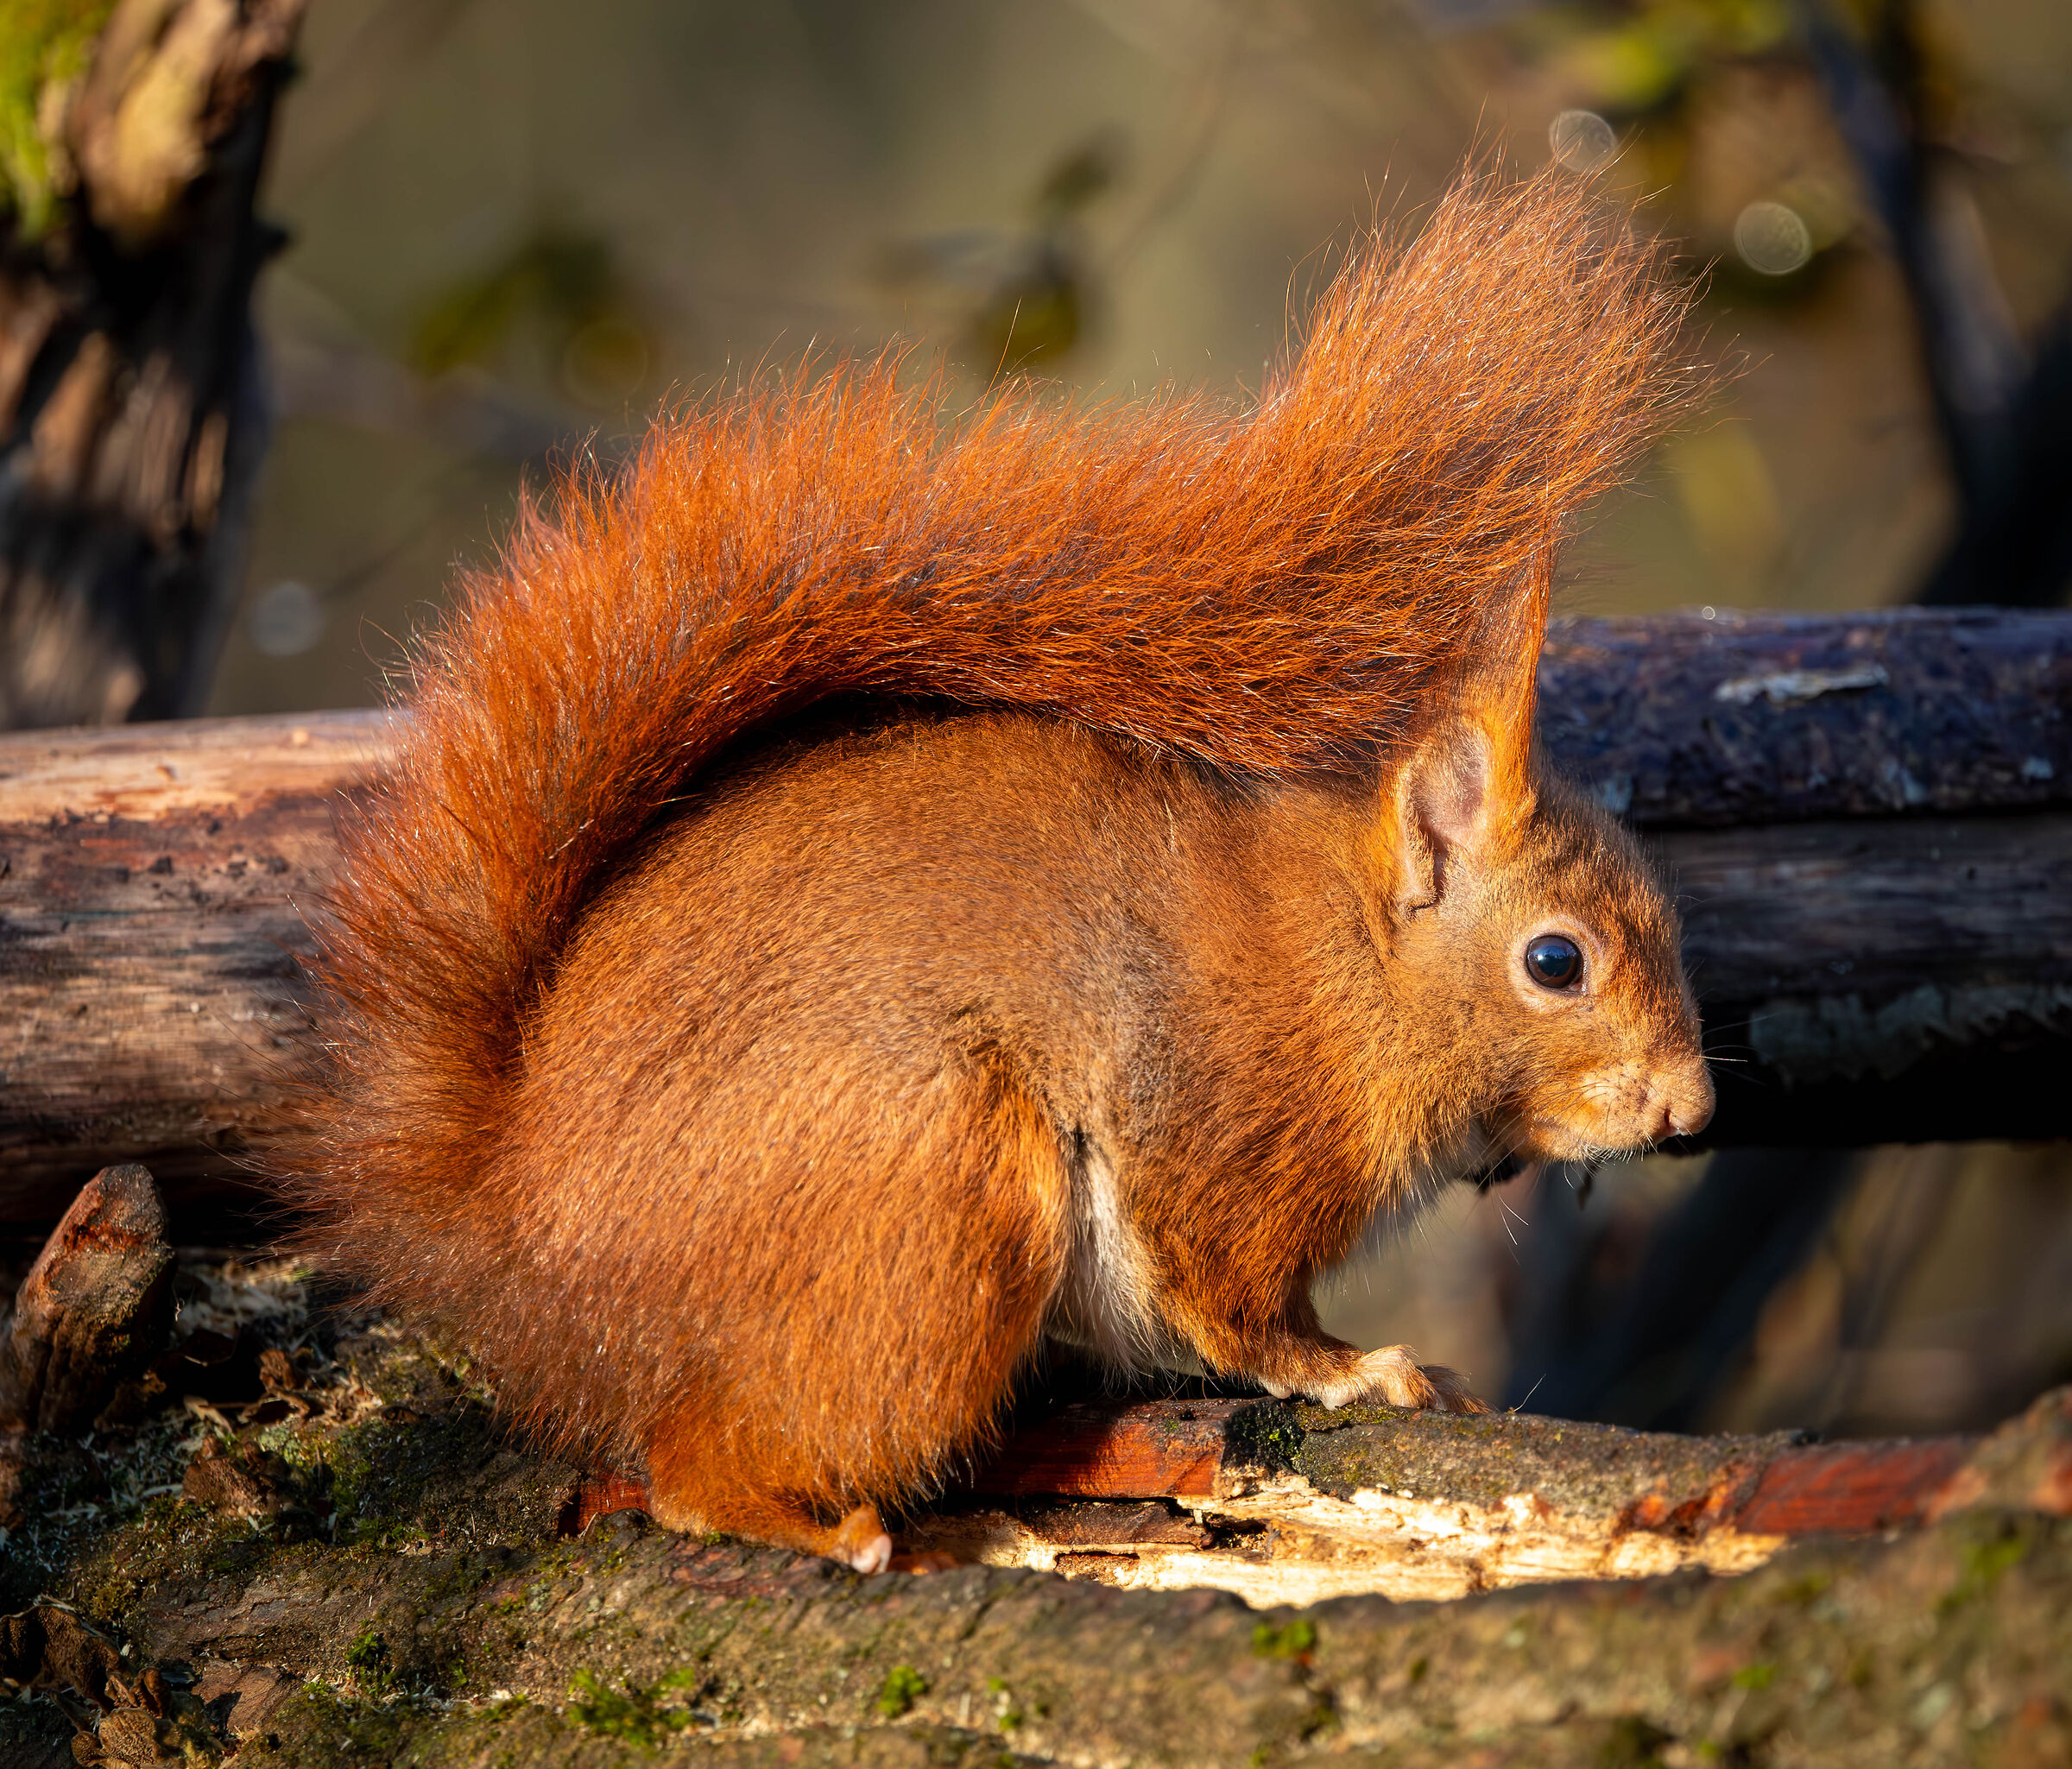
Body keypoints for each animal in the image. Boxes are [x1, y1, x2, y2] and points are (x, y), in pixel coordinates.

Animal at [288, 169, 1714, 1574]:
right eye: (1555, 961)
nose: (1694, 1112)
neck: (1342, 968)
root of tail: (517, 1247)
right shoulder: (1221, 1138)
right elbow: (1239, 1309)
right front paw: (1358, 1369)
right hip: (936, 1194)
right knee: (698, 1471)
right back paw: (852, 1532)